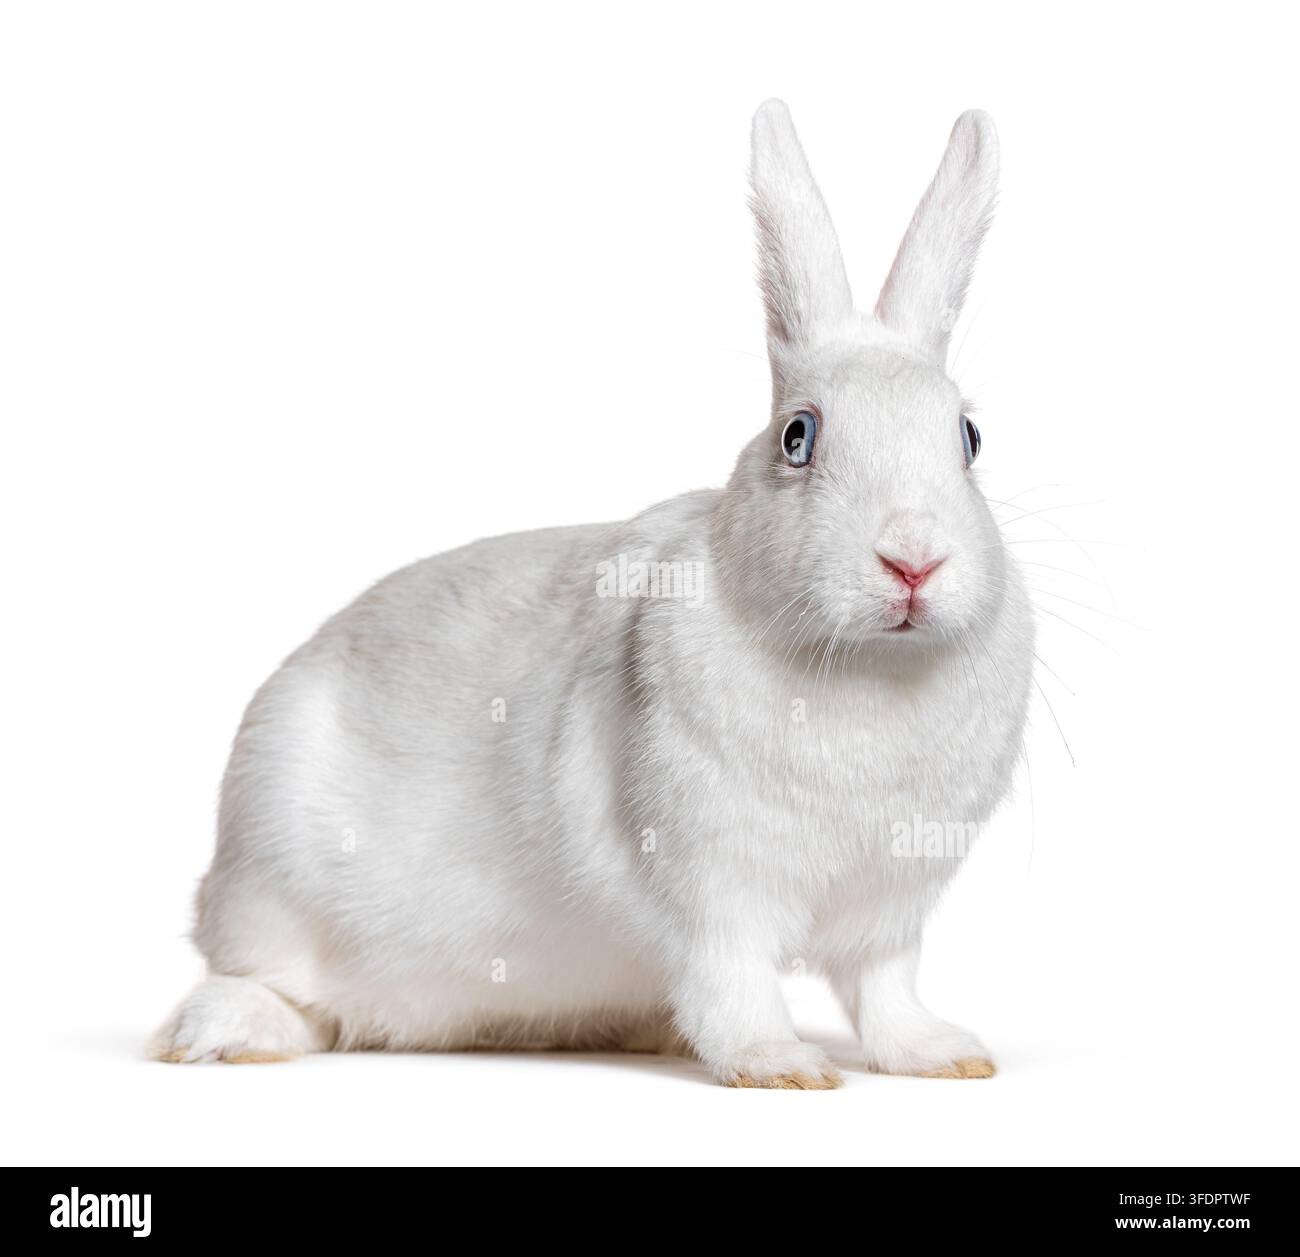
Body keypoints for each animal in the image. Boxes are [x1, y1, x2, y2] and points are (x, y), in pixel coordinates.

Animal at [153, 100, 1033, 1088]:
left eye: (968, 437)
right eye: (798, 437)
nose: (913, 559)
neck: (867, 671)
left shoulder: (890, 903)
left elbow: (886, 988)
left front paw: (944, 1055)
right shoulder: (710, 887)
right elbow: (734, 979)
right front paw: (780, 1064)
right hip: (270, 871)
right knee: (265, 977)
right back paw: (229, 1034)